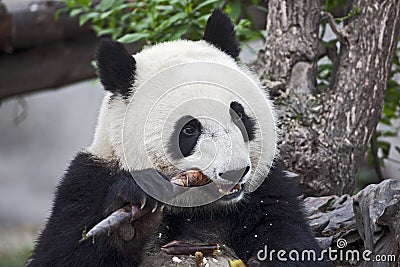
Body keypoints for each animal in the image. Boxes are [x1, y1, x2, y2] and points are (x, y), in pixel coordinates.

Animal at [27, 9, 328, 267]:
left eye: (239, 114)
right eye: (189, 130)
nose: (235, 171)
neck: (196, 207)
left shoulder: (266, 188)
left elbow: (290, 236)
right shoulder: (86, 182)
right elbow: (61, 252)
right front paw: (130, 214)